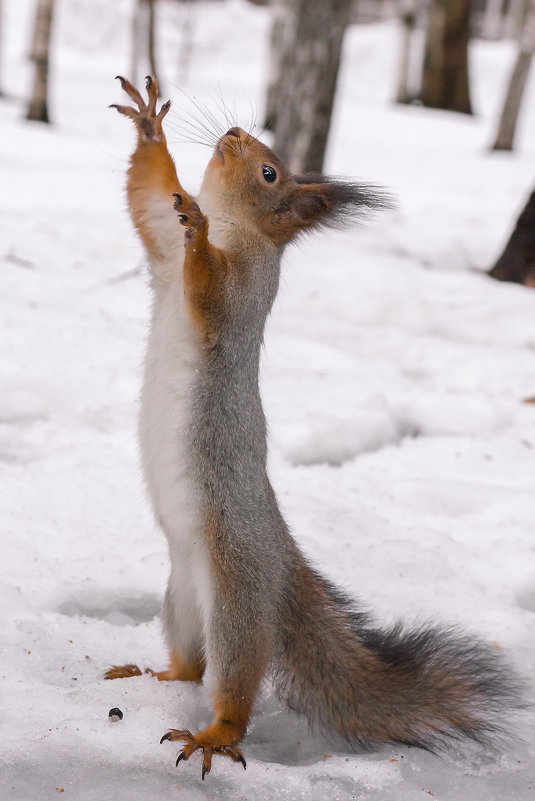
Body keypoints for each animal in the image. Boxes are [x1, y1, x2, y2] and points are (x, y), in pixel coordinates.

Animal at [107, 78, 520, 780]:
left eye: (270, 172)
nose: (234, 134)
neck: (236, 224)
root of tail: (282, 566)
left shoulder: (243, 292)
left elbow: (211, 286)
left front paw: (200, 229)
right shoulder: (160, 242)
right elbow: (150, 200)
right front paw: (149, 129)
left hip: (236, 594)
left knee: (233, 684)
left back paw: (214, 734)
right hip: (182, 598)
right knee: (191, 664)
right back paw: (154, 676)